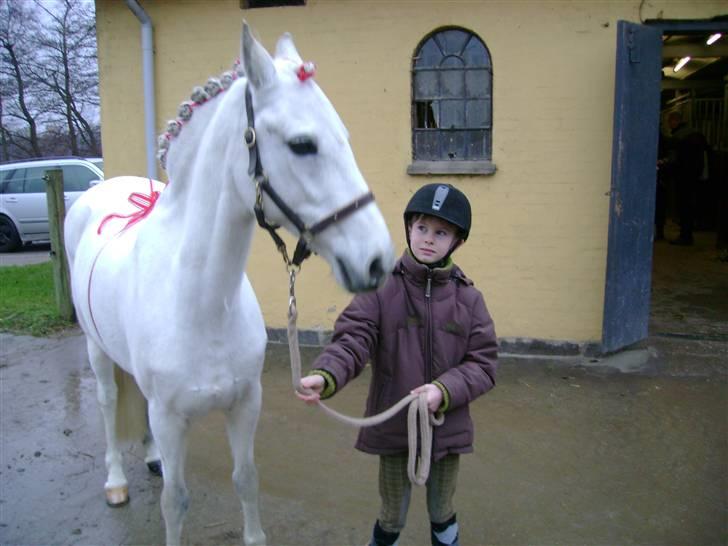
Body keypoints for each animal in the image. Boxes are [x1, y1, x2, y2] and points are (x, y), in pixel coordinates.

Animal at [63, 23, 392, 540]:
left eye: (345, 136)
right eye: (302, 144)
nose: (378, 259)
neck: (202, 303)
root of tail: (102, 189)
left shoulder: (244, 404)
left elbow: (246, 479)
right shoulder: (170, 418)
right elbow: (174, 502)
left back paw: (151, 458)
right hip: (96, 352)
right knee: (108, 401)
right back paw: (115, 481)